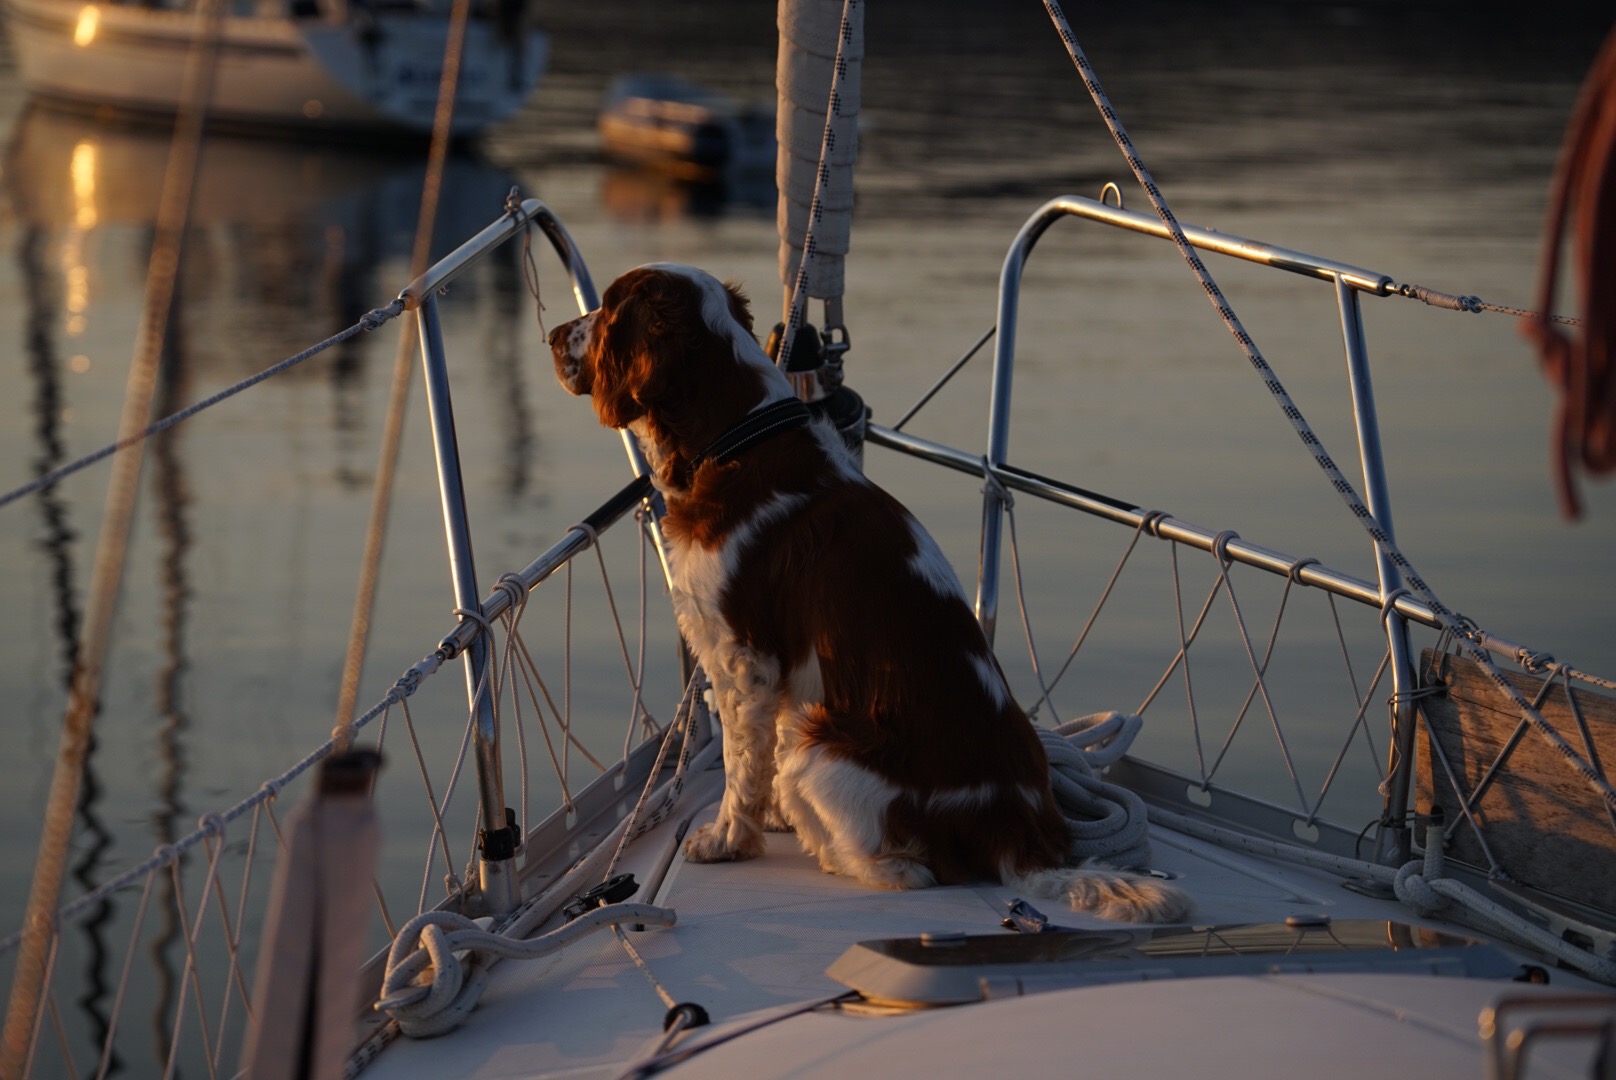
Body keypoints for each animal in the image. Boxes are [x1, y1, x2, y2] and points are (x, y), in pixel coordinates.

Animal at [549, 263, 1190, 922]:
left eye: (606, 310)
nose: (550, 335)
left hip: (821, 748)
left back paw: (831, 849)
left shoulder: (742, 657)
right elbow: (759, 757)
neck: (738, 436)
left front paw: (729, 839)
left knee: (910, 868)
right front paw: (769, 819)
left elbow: (741, 761)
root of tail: (1023, 837)